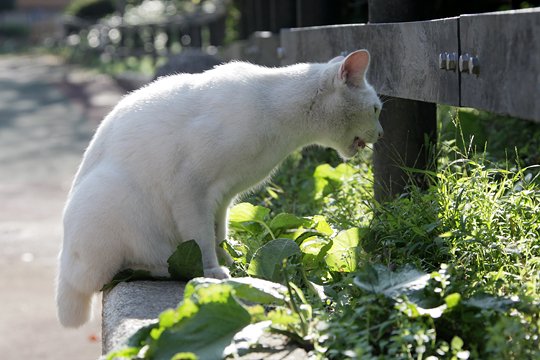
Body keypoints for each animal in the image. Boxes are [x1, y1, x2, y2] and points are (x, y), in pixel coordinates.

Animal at [57, 49, 382, 328]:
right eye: (377, 109)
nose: (380, 134)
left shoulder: (223, 197)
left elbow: (219, 234)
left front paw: (233, 261)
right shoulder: (191, 188)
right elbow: (201, 237)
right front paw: (212, 272)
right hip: (111, 199)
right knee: (114, 274)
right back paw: (167, 268)